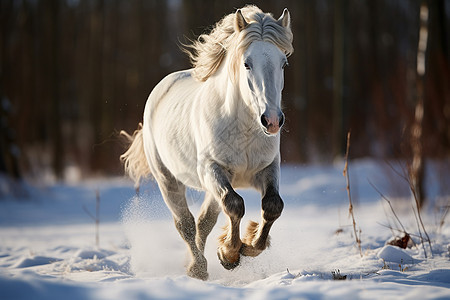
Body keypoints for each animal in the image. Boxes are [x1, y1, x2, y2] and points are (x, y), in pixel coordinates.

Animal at [121, 4, 294, 280]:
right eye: (247, 63)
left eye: (283, 63)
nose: (272, 120)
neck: (245, 129)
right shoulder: (212, 168)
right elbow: (235, 205)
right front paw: (229, 254)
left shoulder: (267, 169)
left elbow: (272, 206)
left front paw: (248, 246)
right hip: (169, 181)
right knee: (186, 224)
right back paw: (197, 269)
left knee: (204, 222)